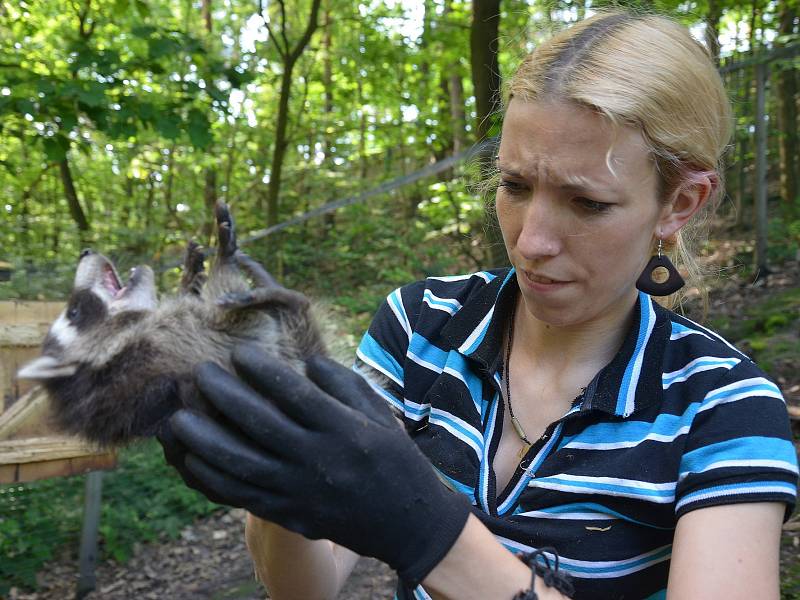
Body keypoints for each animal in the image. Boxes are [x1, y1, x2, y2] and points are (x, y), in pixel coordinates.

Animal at [15, 202, 324, 446]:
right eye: (74, 312)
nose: (84, 252)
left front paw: (190, 277)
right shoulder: (173, 346)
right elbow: (237, 317)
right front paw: (224, 260)